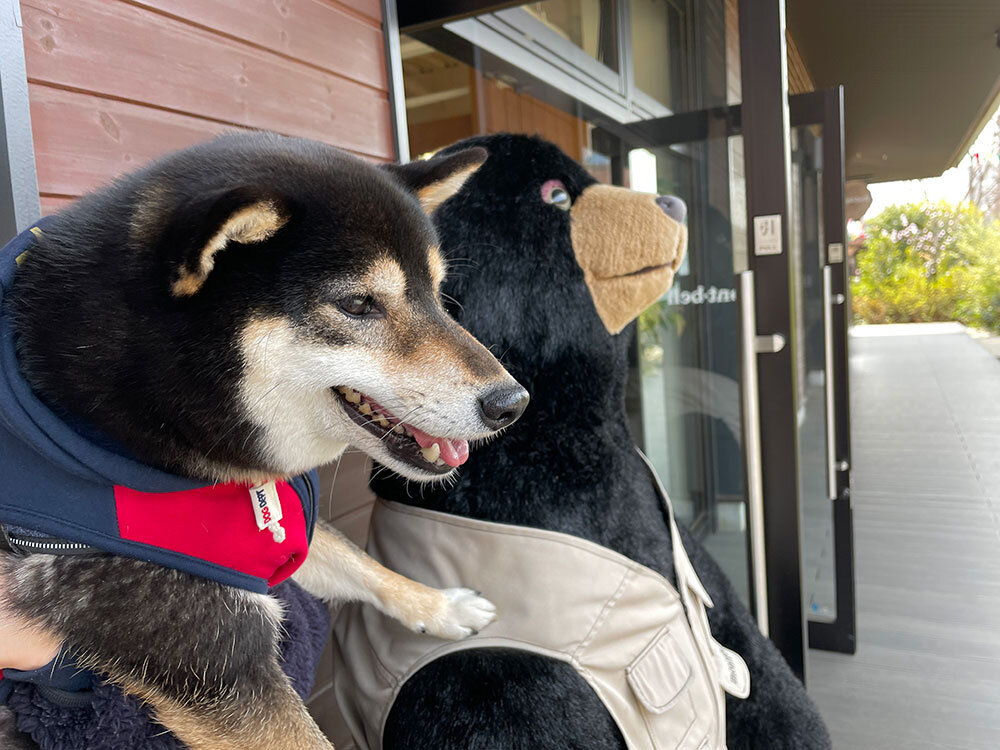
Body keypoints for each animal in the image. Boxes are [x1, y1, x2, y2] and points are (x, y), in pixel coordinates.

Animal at [0, 132, 532, 748]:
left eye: (438, 294)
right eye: (357, 304)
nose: (513, 403)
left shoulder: (269, 538)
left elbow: (361, 563)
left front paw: (441, 605)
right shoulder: (206, 646)